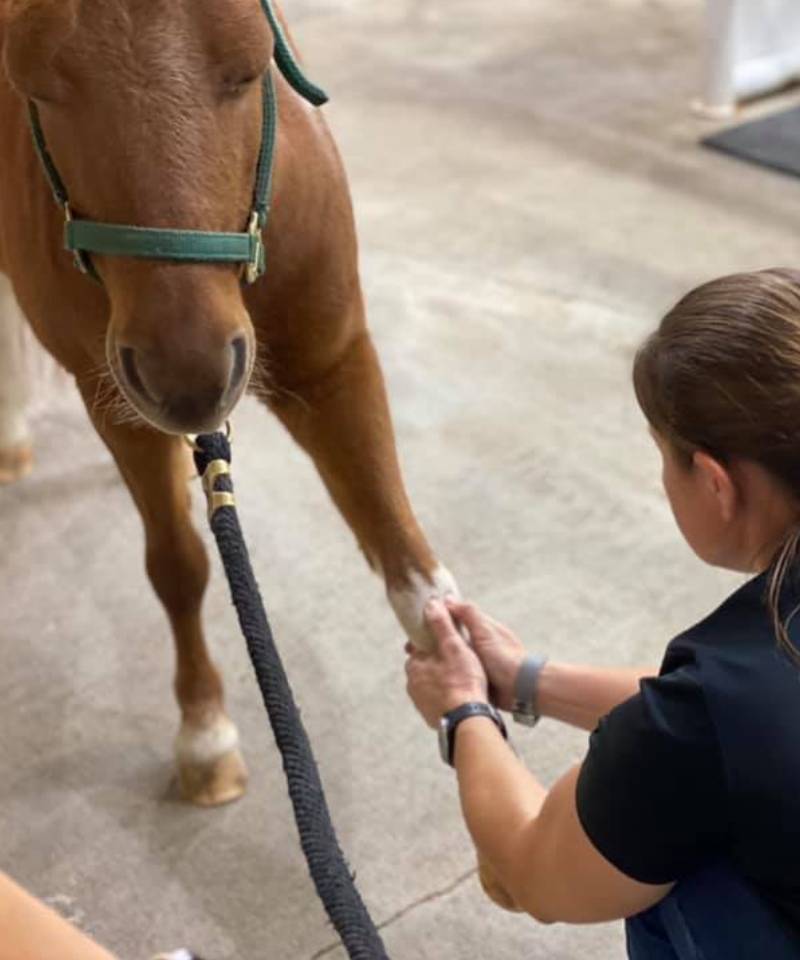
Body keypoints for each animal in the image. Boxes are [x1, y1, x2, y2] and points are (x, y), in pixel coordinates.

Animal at [0, 0, 460, 807]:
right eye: (36, 84)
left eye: (250, 67)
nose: (190, 376)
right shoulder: (114, 401)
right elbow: (177, 565)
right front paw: (205, 737)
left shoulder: (333, 363)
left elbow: (416, 575)